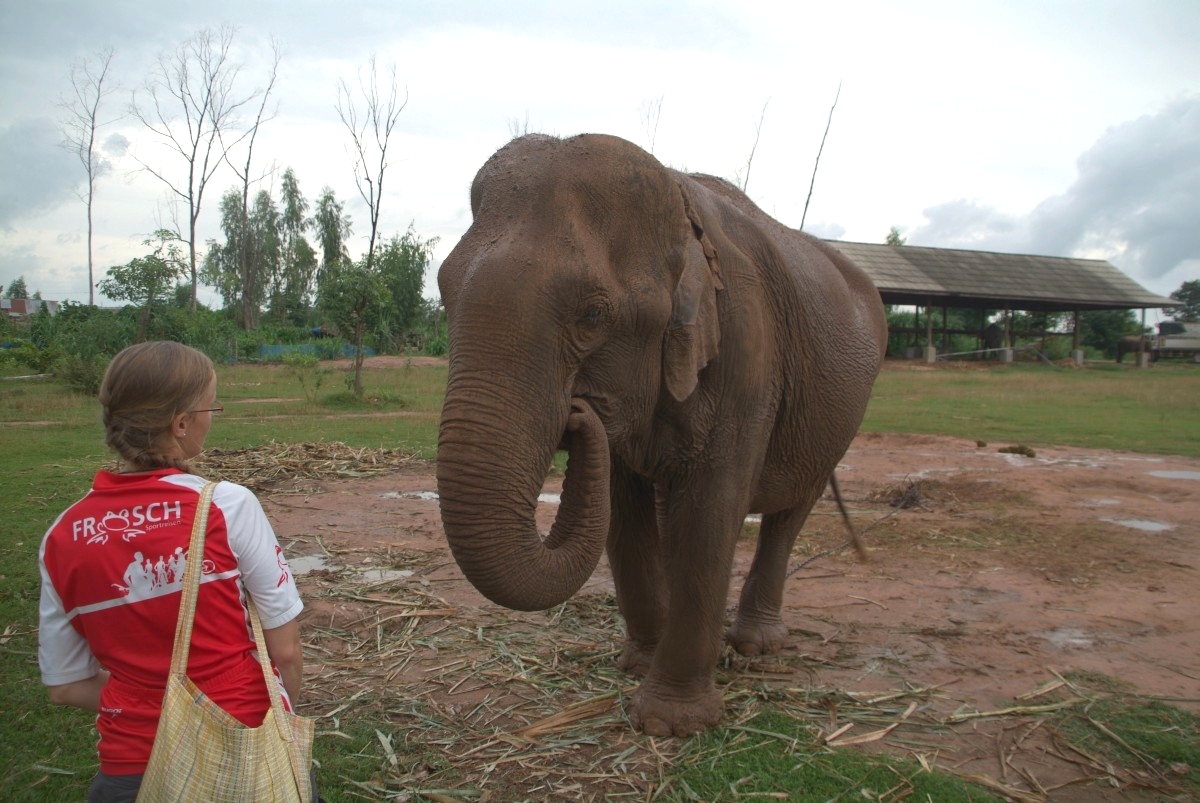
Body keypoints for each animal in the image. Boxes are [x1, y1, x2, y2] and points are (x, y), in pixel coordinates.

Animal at [436, 130, 888, 734]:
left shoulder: (748, 351)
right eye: (443, 291)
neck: (679, 207)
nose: (577, 412)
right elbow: (623, 511)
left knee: (790, 511)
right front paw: (637, 666)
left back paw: (756, 646)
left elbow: (711, 506)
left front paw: (670, 724)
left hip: (835, 417)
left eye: (593, 314)